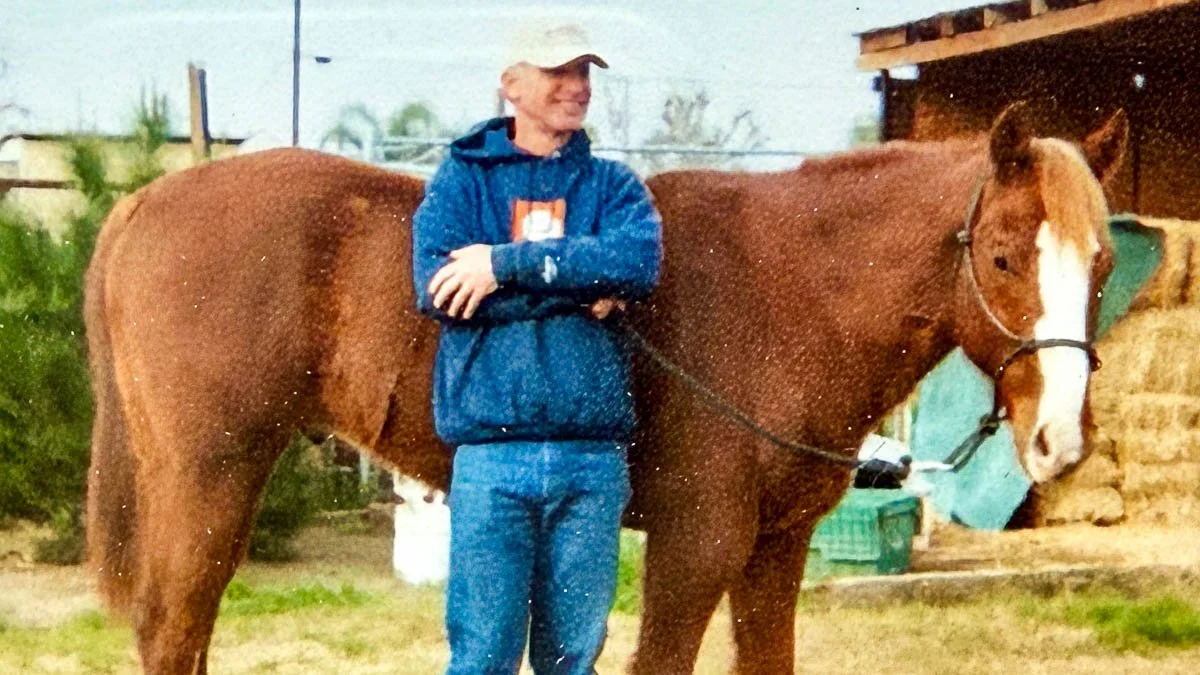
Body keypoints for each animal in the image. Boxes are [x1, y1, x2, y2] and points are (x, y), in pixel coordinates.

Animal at [83, 102, 1126, 673]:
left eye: (1106, 260)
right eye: (1003, 255)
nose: (1060, 440)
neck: (789, 286)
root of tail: (143, 203)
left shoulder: (774, 551)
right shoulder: (697, 545)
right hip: (210, 475)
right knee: (172, 627)